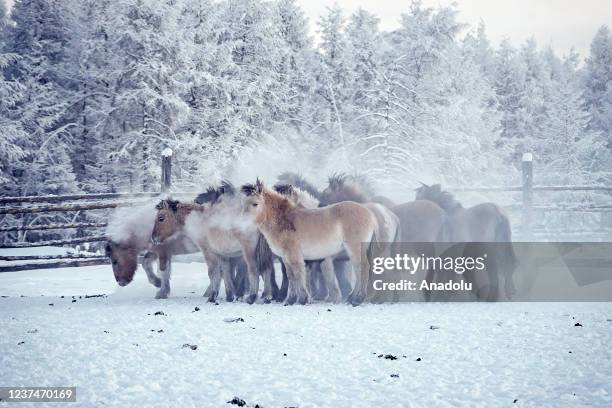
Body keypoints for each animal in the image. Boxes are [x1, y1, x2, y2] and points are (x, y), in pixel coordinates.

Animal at [240, 180, 378, 304]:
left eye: (255, 204)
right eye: (243, 204)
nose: (242, 223)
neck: (285, 220)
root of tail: (370, 214)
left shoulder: (294, 255)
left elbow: (298, 274)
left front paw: (302, 299)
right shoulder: (285, 258)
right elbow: (290, 276)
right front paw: (290, 300)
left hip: (355, 248)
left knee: (362, 267)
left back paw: (357, 299)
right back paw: (351, 298)